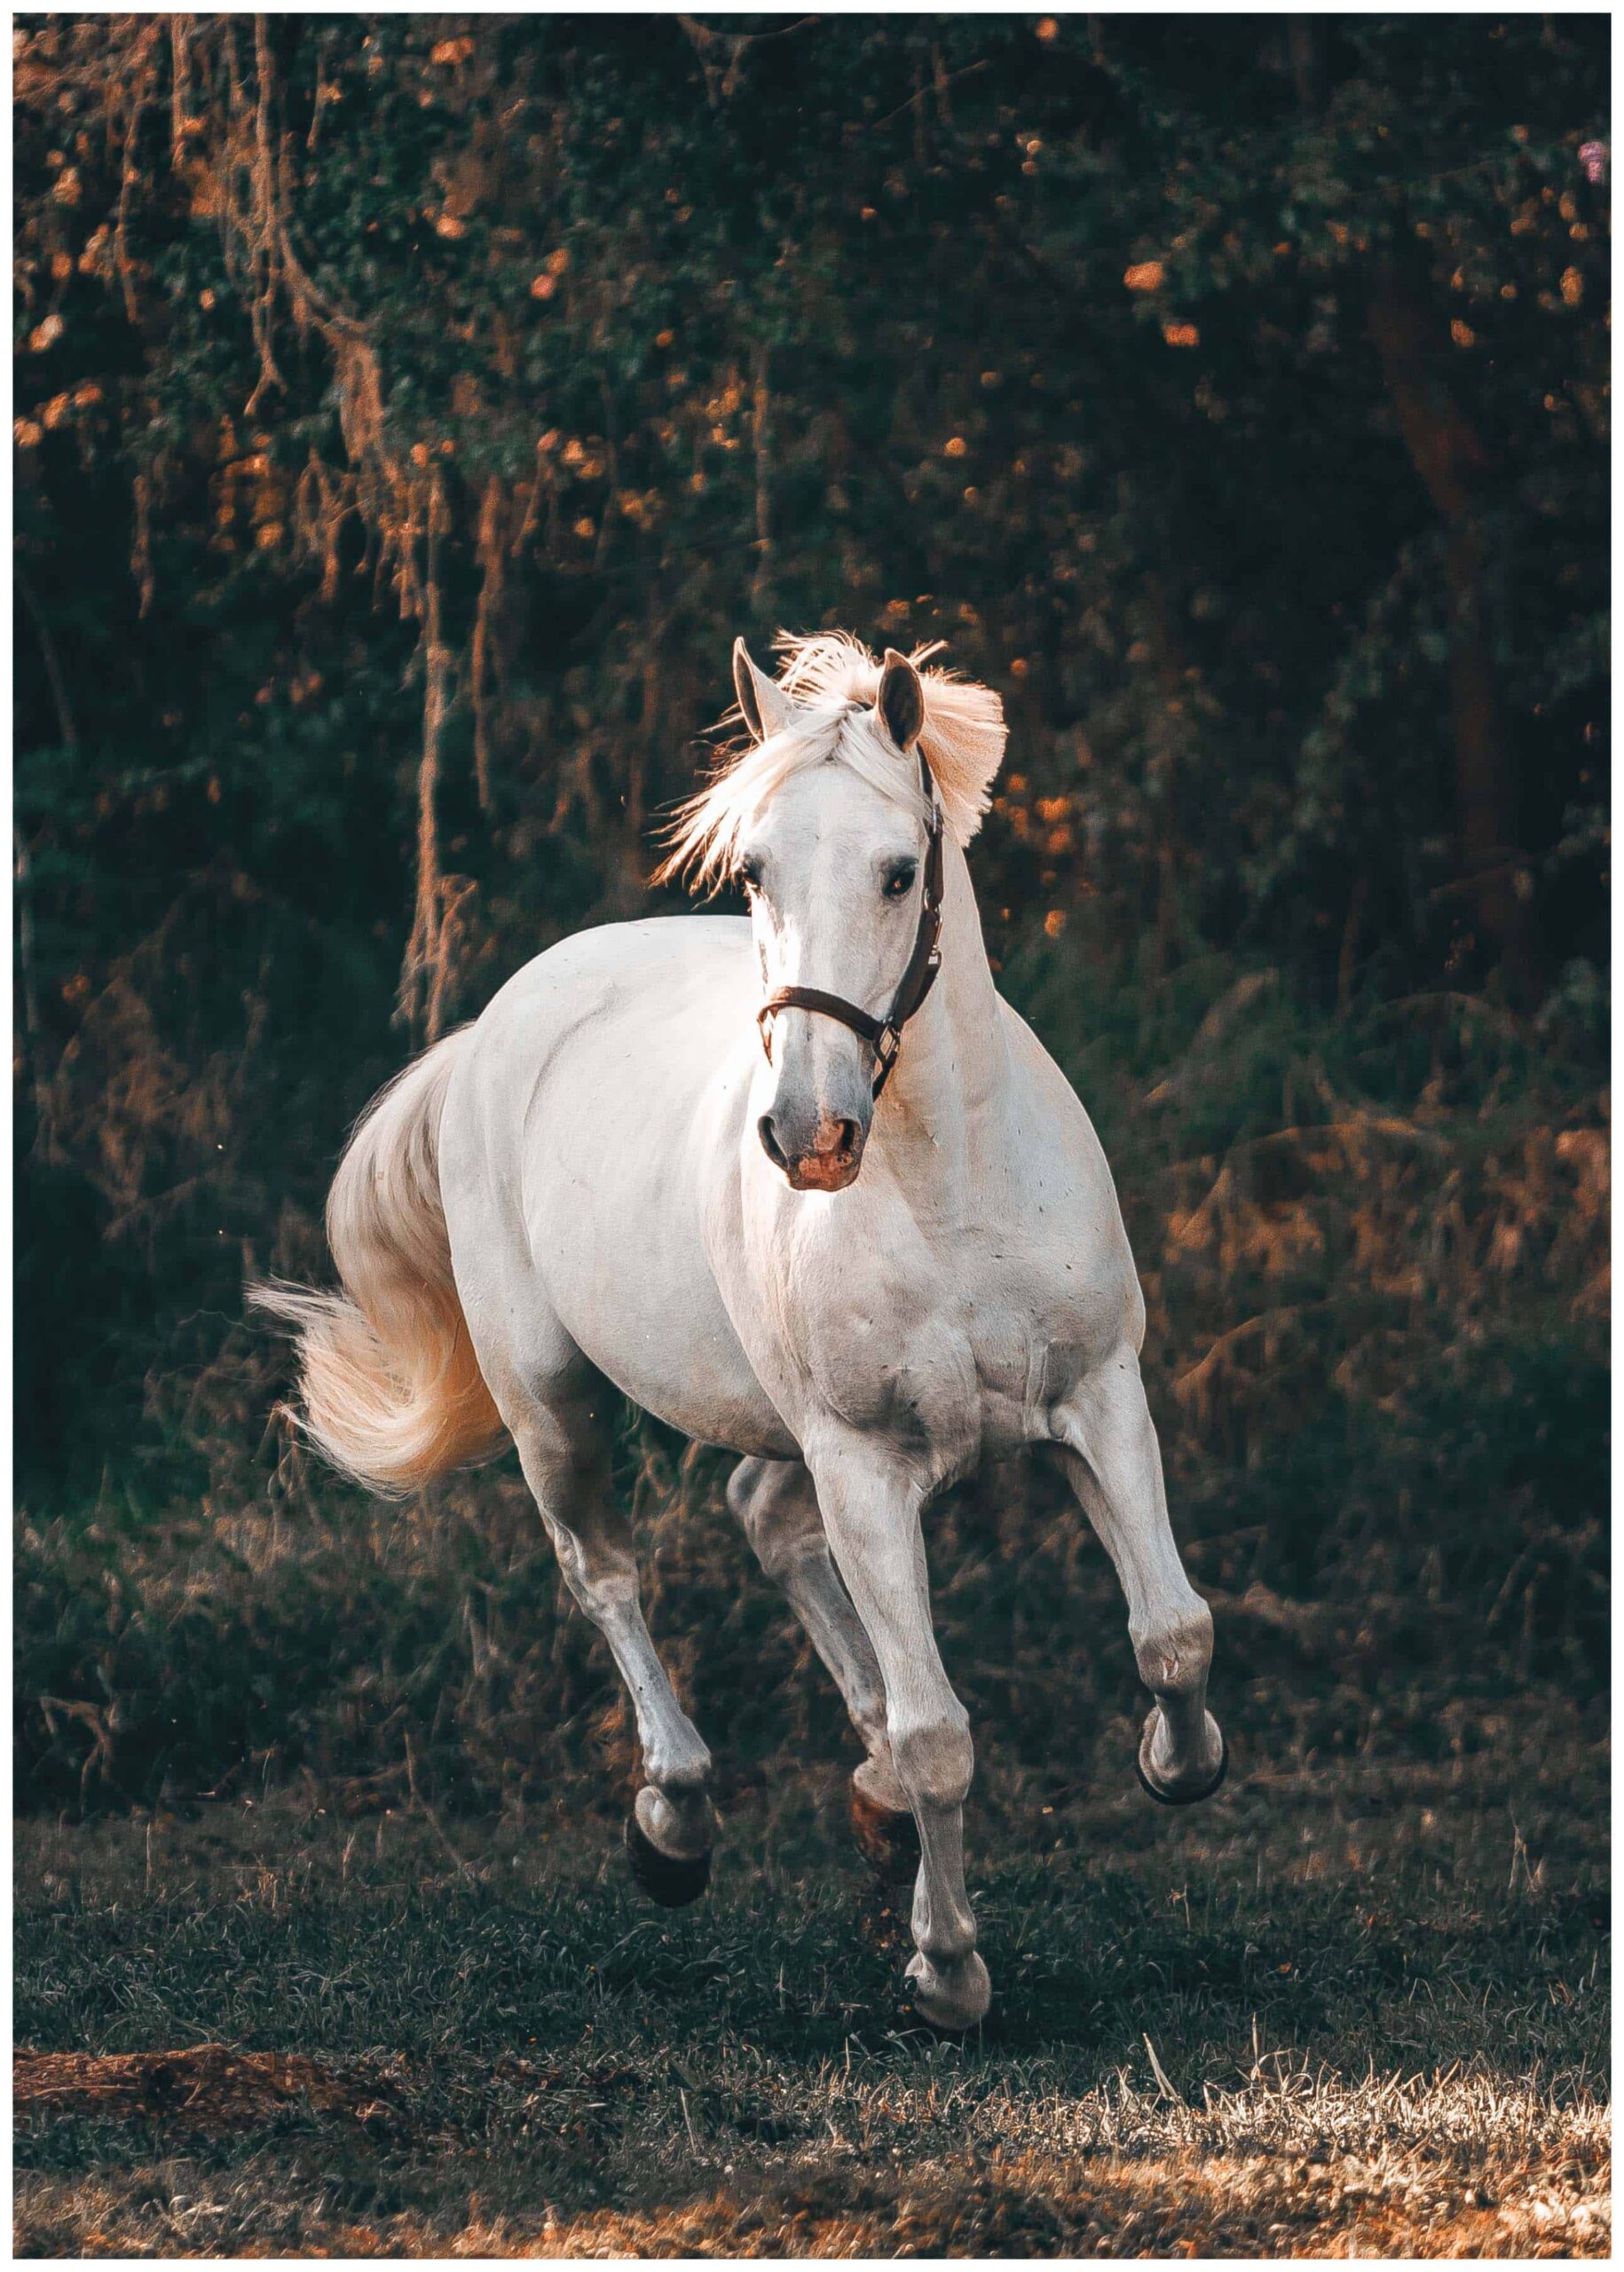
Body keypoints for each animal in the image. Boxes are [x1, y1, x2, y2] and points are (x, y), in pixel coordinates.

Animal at [257, 631, 1217, 2035]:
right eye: (755, 868)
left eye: (900, 870)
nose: (806, 1133)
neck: (950, 1190)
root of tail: (499, 1024)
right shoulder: (864, 1463)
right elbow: (939, 1733)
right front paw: (947, 1970)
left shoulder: (1098, 1400)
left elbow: (1171, 1635)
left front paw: (1167, 1761)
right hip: (552, 1400)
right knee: (605, 1572)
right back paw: (676, 1819)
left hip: (777, 1426)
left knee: (760, 1518)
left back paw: (862, 1798)